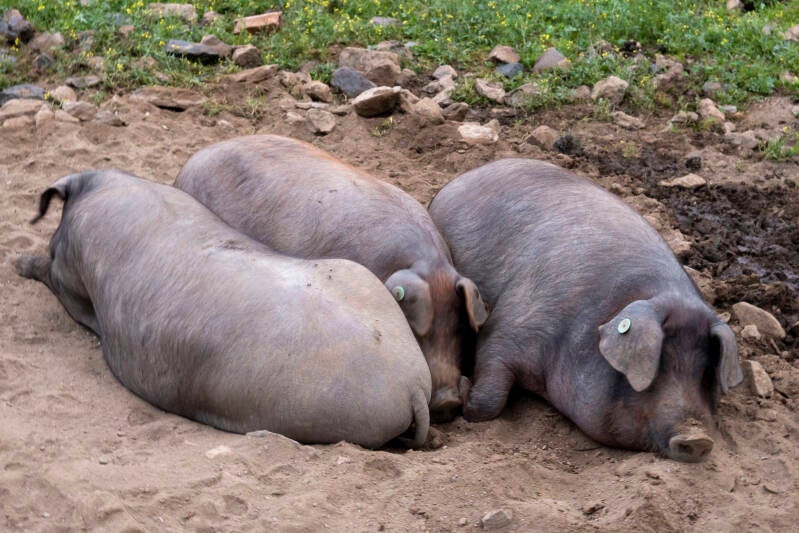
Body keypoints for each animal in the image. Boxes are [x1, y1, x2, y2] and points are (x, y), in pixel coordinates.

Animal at [428, 159, 742, 462]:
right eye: (659, 365)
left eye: (705, 371)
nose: (699, 439)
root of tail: (465, 175)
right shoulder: (511, 326)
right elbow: (489, 395)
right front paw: (464, 386)